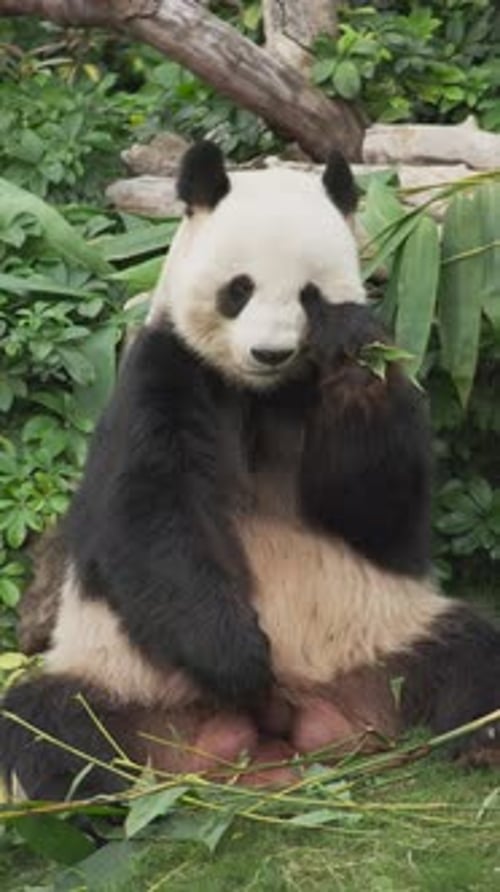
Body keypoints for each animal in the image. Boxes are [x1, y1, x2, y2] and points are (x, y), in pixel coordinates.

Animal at [2, 141, 500, 800]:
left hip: (384, 632)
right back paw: (87, 798)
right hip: (124, 673)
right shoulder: (164, 374)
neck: (258, 393)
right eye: (238, 289)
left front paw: (353, 363)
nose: (271, 353)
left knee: (471, 652)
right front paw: (241, 662)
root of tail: (281, 733)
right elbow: (149, 519)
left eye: (310, 295)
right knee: (48, 726)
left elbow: (378, 508)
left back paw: (482, 743)